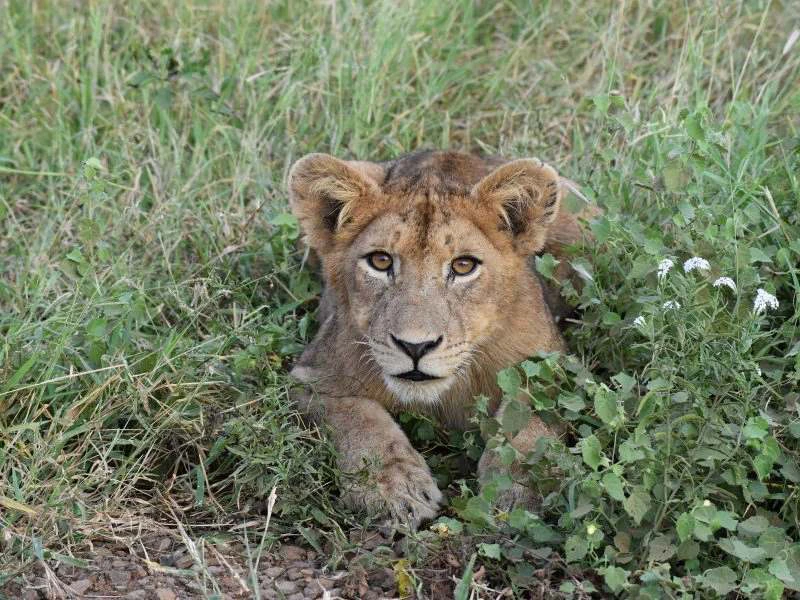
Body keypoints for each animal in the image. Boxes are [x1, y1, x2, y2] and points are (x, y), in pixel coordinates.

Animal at [287, 150, 590, 526]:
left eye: (463, 266)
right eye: (380, 261)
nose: (415, 346)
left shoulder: (553, 369)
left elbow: (530, 425)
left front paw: (515, 488)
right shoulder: (313, 378)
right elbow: (361, 422)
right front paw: (395, 488)